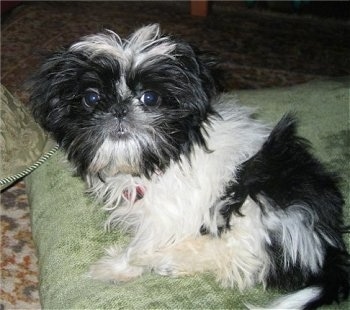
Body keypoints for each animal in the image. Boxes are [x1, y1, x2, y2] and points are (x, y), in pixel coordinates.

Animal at [28, 24, 348, 310]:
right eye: (91, 98)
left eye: (150, 98)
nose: (119, 108)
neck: (163, 158)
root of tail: (326, 243)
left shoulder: (169, 211)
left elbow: (141, 243)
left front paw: (118, 267)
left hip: (257, 198)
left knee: (245, 259)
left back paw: (166, 259)